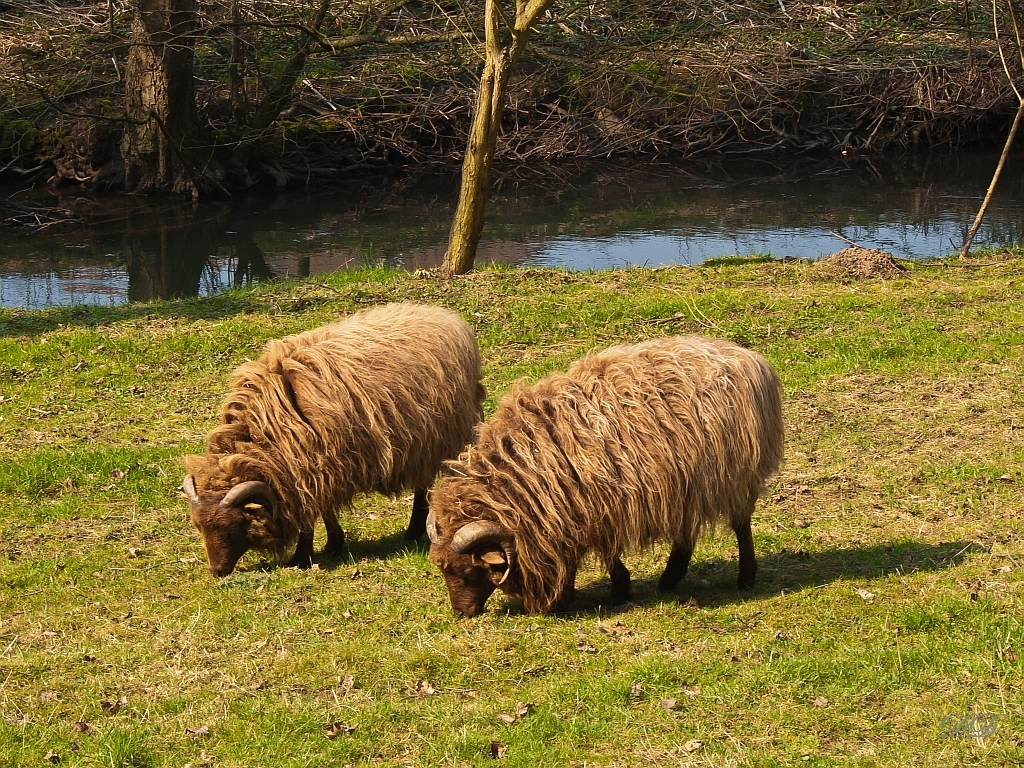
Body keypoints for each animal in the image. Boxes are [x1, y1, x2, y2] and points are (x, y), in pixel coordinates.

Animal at [182, 301, 485, 577]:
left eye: (232, 525)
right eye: (198, 526)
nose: (216, 571)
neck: (261, 437)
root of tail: (445, 315)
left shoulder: (310, 469)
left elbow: (309, 515)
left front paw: (302, 557)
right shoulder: (321, 466)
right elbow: (327, 510)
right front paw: (333, 544)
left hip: (434, 438)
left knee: (422, 486)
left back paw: (413, 530)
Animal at [423, 333, 782, 618]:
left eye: (466, 570)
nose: (460, 613)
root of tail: (750, 360)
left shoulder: (600, 505)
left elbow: (607, 553)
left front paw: (618, 589)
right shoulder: (572, 511)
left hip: (735, 476)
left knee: (740, 525)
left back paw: (745, 578)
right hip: (688, 482)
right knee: (685, 530)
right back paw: (670, 579)